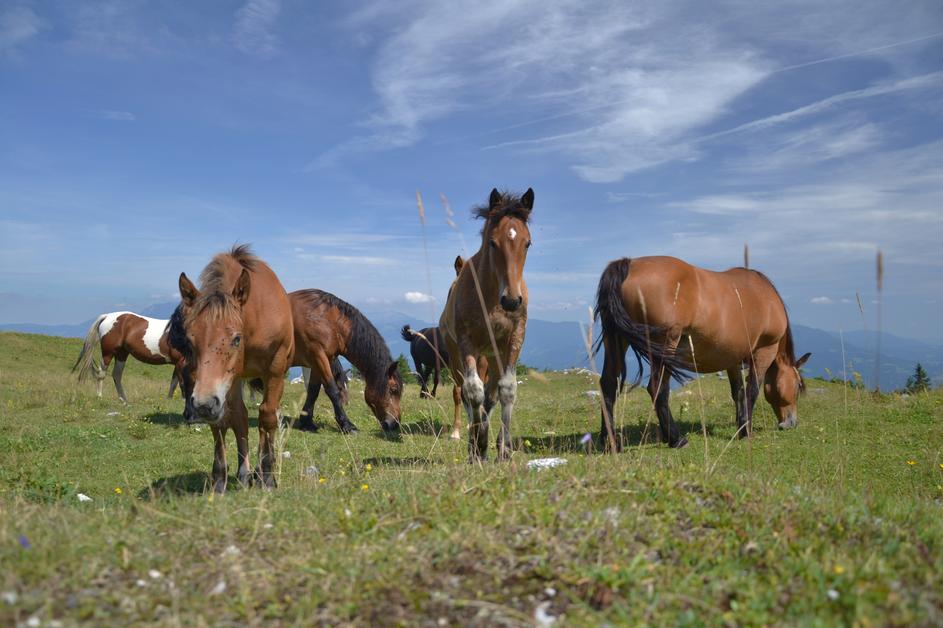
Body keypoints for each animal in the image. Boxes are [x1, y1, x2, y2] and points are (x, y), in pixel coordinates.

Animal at [175, 245, 294, 490]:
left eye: (236, 339)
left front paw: (267, 476)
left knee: (267, 418)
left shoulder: (275, 371)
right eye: (190, 341)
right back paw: (245, 473)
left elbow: (267, 416)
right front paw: (221, 478)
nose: (202, 405)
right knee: (240, 417)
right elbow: (226, 421)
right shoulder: (224, 385)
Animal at [290, 290, 404, 434]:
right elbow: (332, 391)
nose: (395, 424)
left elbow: (313, 391)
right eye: (393, 389)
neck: (327, 320)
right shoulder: (318, 356)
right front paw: (347, 425)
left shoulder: (318, 360)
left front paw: (307, 422)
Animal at [440, 186, 532, 462]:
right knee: (465, 393)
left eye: (527, 243)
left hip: (493, 354)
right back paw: (474, 441)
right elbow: (473, 392)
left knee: (491, 395)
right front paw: (477, 446)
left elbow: (507, 390)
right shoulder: (467, 342)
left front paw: (504, 448)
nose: (512, 300)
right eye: (493, 242)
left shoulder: (514, 339)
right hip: (458, 355)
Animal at [596, 255, 812, 452]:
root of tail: (630, 263)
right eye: (797, 385)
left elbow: (738, 393)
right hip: (665, 344)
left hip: (615, 340)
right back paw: (676, 439)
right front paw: (746, 430)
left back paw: (610, 442)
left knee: (608, 384)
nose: (791, 423)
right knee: (657, 388)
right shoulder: (764, 351)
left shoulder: (732, 358)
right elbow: (752, 391)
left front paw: (740, 424)